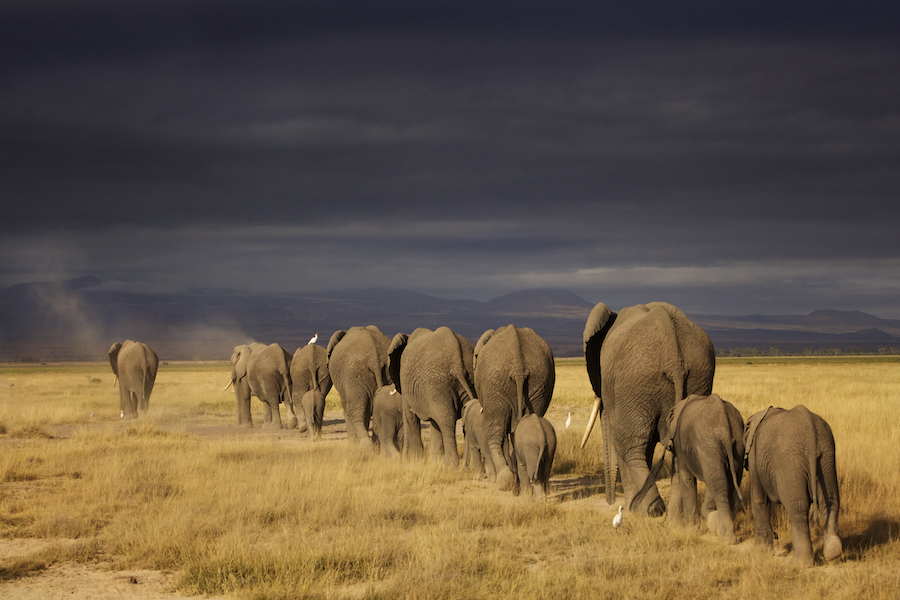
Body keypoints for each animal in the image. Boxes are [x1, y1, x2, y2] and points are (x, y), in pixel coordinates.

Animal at [390, 326, 482, 466]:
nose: (403, 458)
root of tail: (457, 364)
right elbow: (433, 421)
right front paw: (435, 461)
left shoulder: (406, 382)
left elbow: (411, 416)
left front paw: (417, 461)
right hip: (468, 378)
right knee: (452, 415)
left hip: (436, 383)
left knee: (446, 420)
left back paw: (451, 465)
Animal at [584, 302, 716, 516]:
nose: (610, 502)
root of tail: (674, 359)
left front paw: (632, 508)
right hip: (697, 376)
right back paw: (674, 517)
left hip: (635, 381)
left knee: (627, 443)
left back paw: (651, 509)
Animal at [632, 394, 744, 544]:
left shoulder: (681, 443)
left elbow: (686, 478)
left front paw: (690, 531)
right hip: (737, 445)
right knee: (727, 481)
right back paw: (726, 534)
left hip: (707, 444)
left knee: (718, 483)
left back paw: (727, 537)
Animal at [740, 406, 840, 564]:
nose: (776, 535)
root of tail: (810, 429)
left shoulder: (754, 454)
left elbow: (759, 499)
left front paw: (760, 551)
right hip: (826, 457)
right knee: (829, 502)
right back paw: (832, 553)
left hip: (790, 461)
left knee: (798, 507)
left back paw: (800, 563)